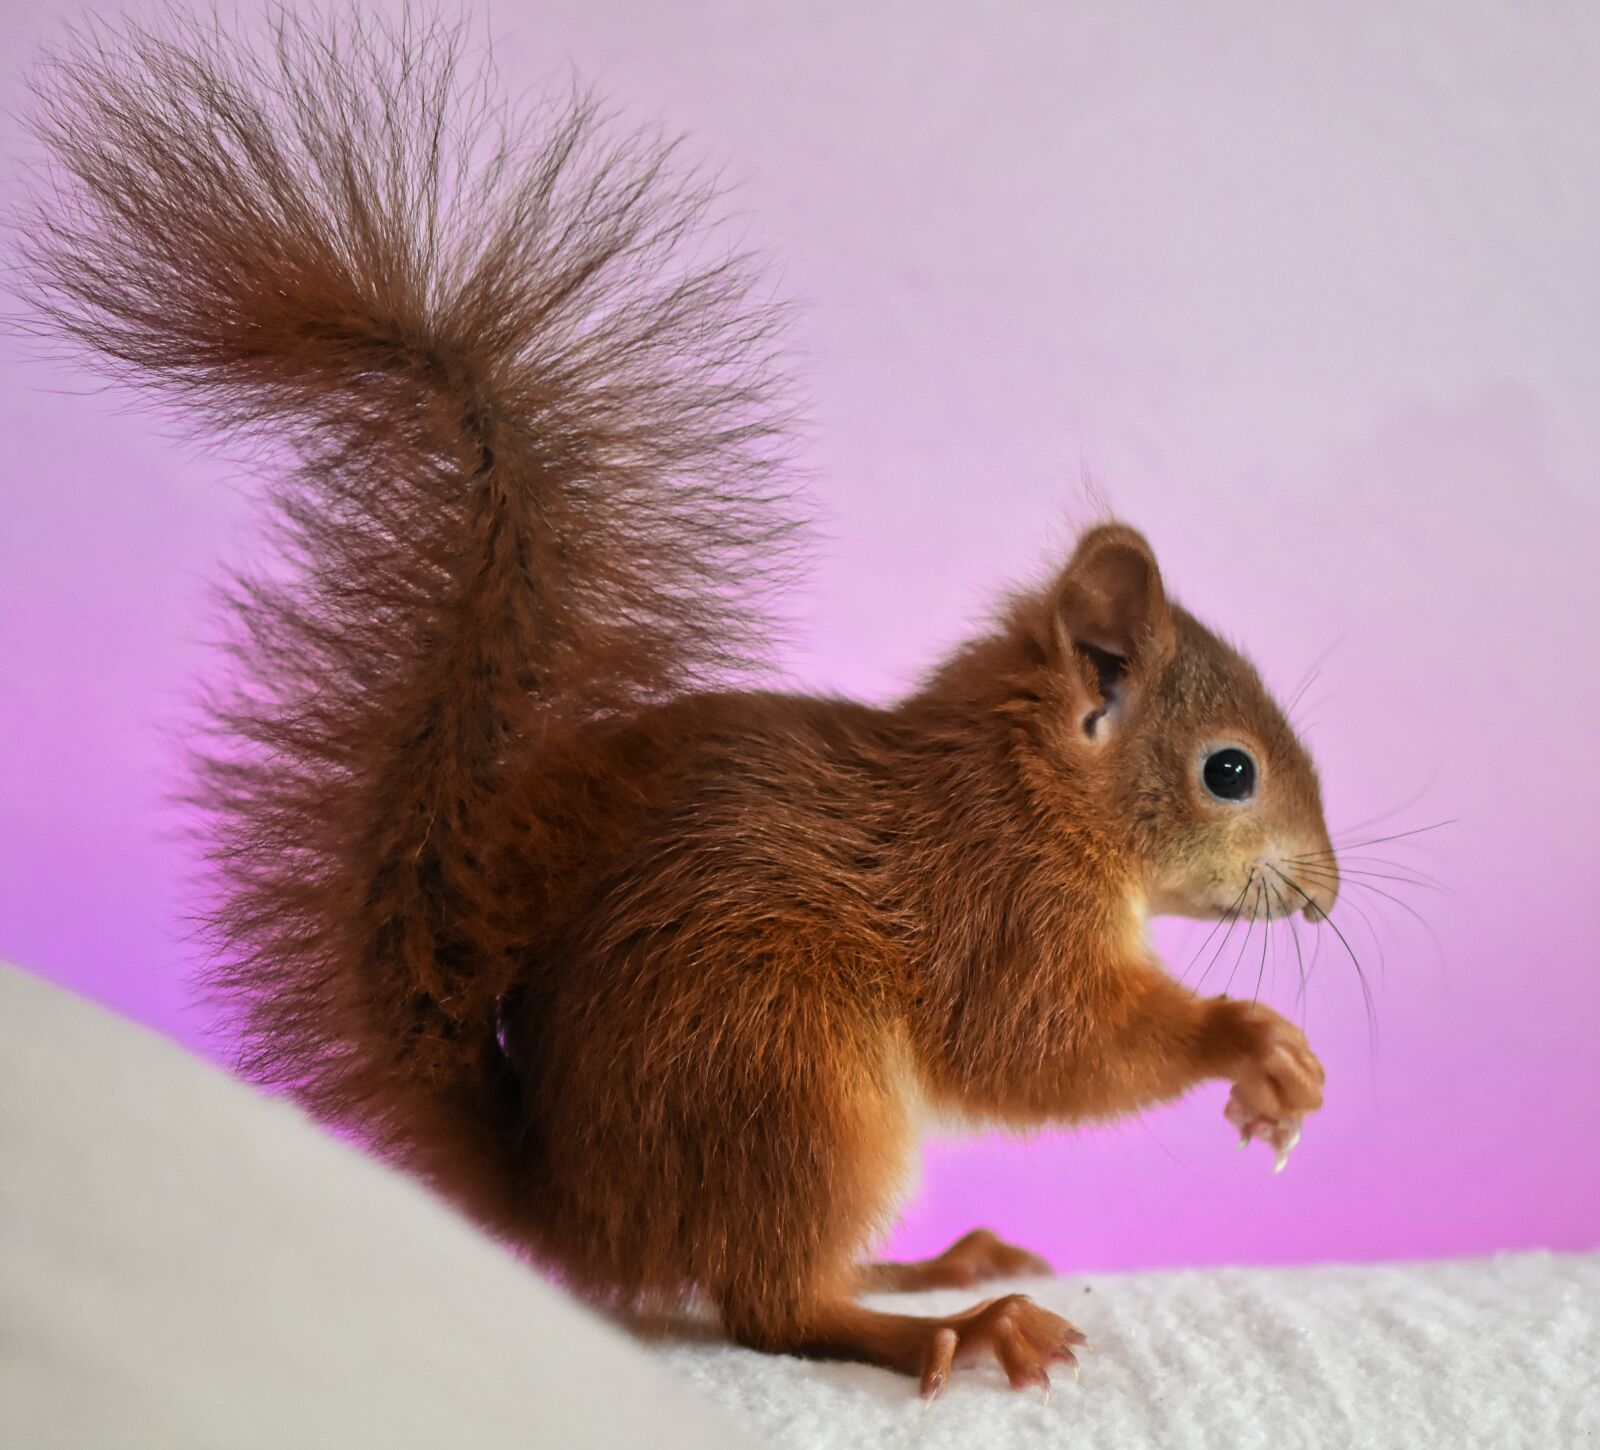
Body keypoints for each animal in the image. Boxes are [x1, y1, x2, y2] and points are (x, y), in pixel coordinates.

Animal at [22, 12, 1335, 1397]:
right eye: (1230, 771)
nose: (1327, 891)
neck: (1024, 790)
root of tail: (579, 1208)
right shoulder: (996, 911)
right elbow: (1041, 1045)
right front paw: (1252, 1043)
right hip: (789, 1076)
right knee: (771, 1302)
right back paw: (954, 1321)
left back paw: (934, 1263)